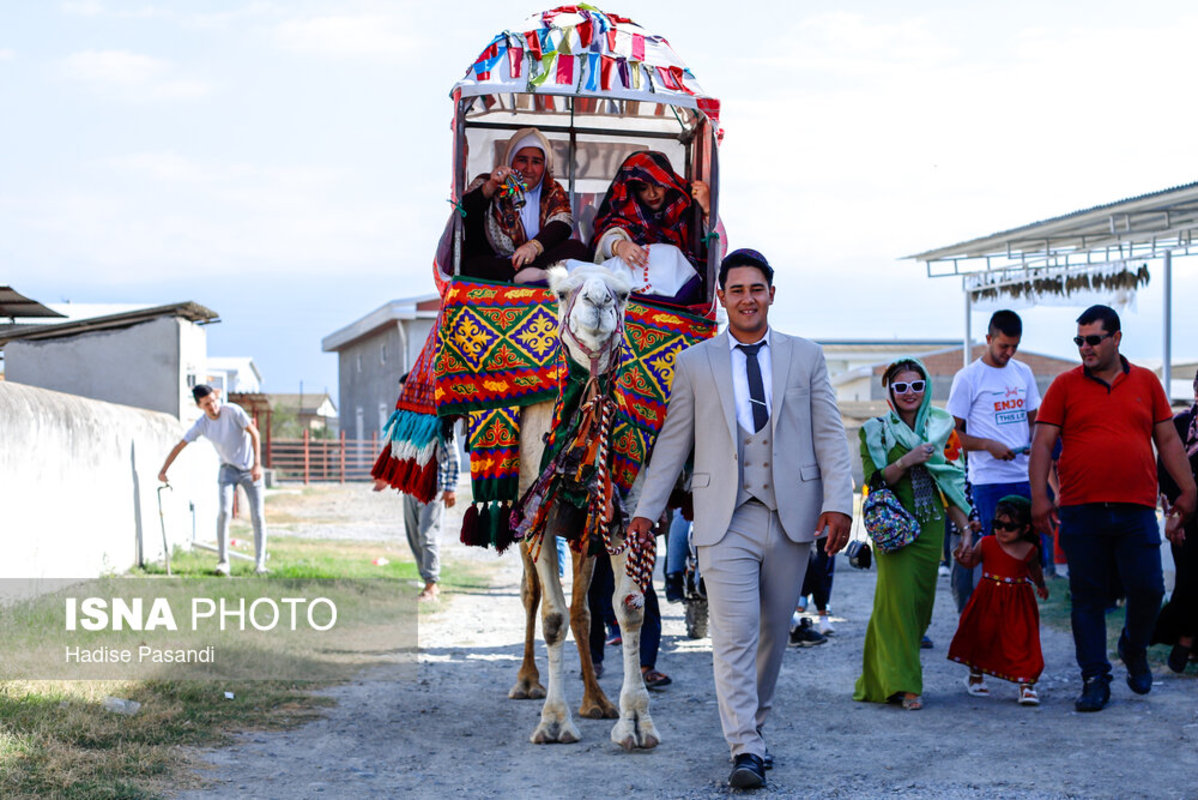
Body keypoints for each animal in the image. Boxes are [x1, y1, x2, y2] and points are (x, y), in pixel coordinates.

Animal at [505, 262, 656, 752]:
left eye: (624, 294)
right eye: (561, 292)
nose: (598, 302)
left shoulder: (623, 517)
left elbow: (628, 608)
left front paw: (634, 722)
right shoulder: (541, 518)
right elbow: (551, 617)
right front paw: (554, 722)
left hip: (584, 532)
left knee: (583, 610)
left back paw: (596, 701)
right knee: (531, 593)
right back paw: (527, 682)